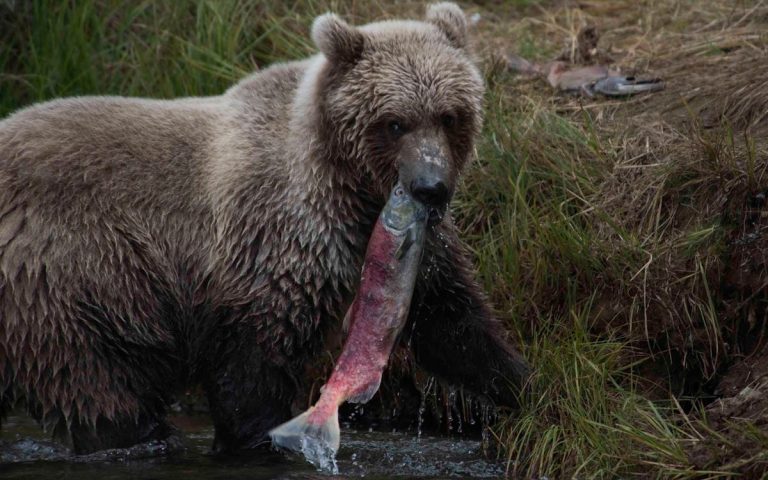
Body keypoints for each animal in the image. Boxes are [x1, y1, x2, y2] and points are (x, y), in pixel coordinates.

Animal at [0, 2, 529, 454]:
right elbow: (255, 361)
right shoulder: (274, 237)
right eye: (395, 122)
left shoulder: (403, 245)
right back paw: (141, 439)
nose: (430, 187)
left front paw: (522, 386)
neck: (350, 187)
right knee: (100, 390)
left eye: (449, 115)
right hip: (73, 279)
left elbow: (452, 321)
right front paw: (259, 437)